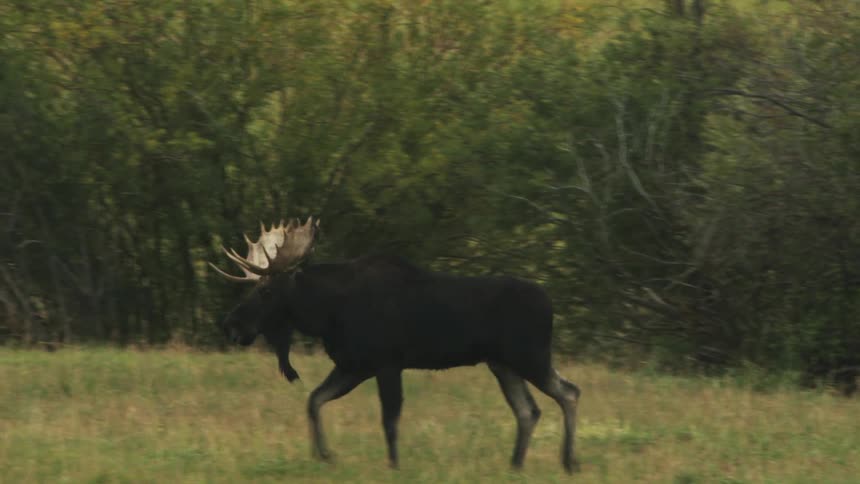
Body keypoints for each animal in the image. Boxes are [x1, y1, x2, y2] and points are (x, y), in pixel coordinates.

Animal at [209, 217, 581, 473]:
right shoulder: (353, 366)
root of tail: (550, 304)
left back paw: (568, 462)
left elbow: (389, 419)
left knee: (569, 392)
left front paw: (393, 465)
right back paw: (515, 465)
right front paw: (324, 455)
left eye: (266, 290)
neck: (327, 312)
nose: (231, 325)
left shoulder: (387, 363)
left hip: (529, 356)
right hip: (502, 364)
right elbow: (314, 400)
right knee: (529, 410)